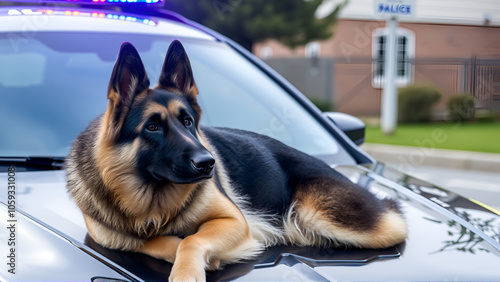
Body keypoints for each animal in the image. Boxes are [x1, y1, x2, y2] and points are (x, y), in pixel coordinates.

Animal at [66, 40, 408, 280]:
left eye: (188, 122)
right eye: (152, 127)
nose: (208, 163)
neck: (152, 202)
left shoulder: (234, 221)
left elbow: (192, 241)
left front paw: (189, 270)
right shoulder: (113, 236)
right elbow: (144, 241)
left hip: (317, 214)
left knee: (396, 219)